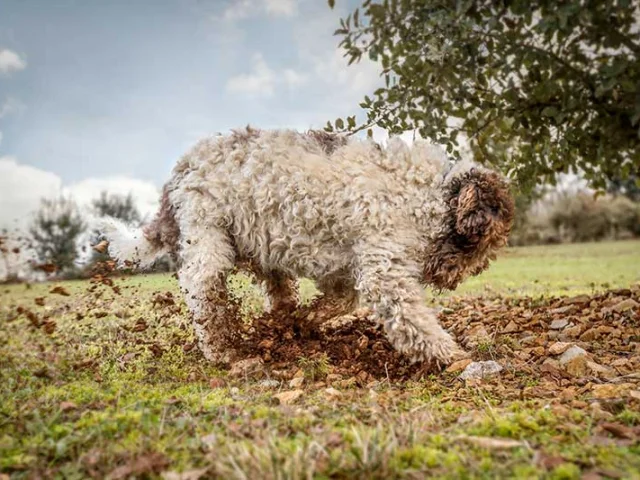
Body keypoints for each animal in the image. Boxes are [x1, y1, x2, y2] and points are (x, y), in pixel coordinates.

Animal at [101, 125, 516, 366]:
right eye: (473, 245)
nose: (450, 280)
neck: (429, 194)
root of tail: (178, 173)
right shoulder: (383, 267)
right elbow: (411, 319)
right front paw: (450, 354)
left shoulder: (346, 266)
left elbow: (342, 300)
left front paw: (306, 321)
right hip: (207, 234)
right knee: (201, 288)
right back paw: (222, 349)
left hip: (259, 241)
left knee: (276, 288)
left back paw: (282, 323)